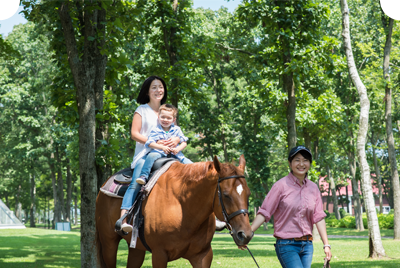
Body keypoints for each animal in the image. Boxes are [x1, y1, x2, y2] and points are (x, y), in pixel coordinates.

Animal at [95, 154, 253, 266]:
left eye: (248, 194)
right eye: (226, 195)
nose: (245, 234)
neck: (184, 208)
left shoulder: (203, 256)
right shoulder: (159, 254)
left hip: (136, 249)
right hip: (109, 243)